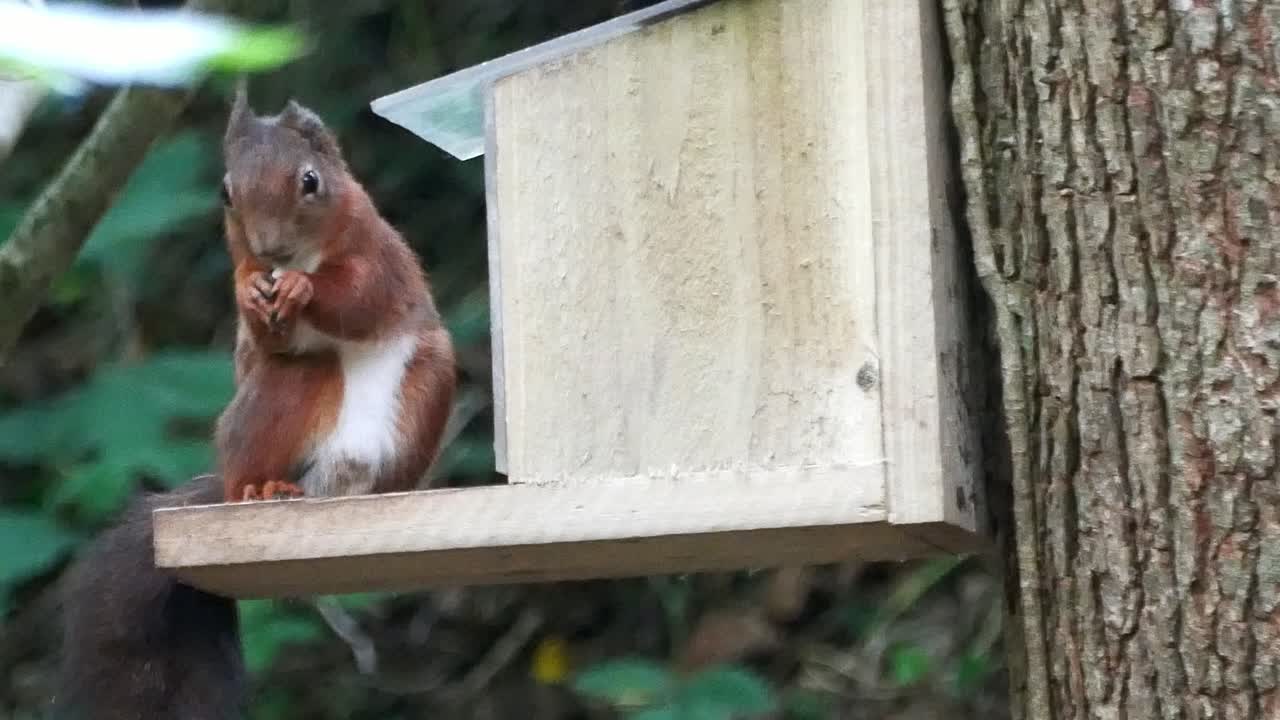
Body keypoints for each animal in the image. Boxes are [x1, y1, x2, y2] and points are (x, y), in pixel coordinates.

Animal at [54, 89, 457, 719]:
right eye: (226, 191)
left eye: (310, 181)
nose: (270, 249)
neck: (301, 257)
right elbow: (261, 329)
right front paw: (252, 290)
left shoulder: (379, 254)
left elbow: (362, 298)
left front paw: (303, 289)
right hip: (280, 400)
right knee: (289, 396)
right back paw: (262, 490)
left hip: (428, 388)